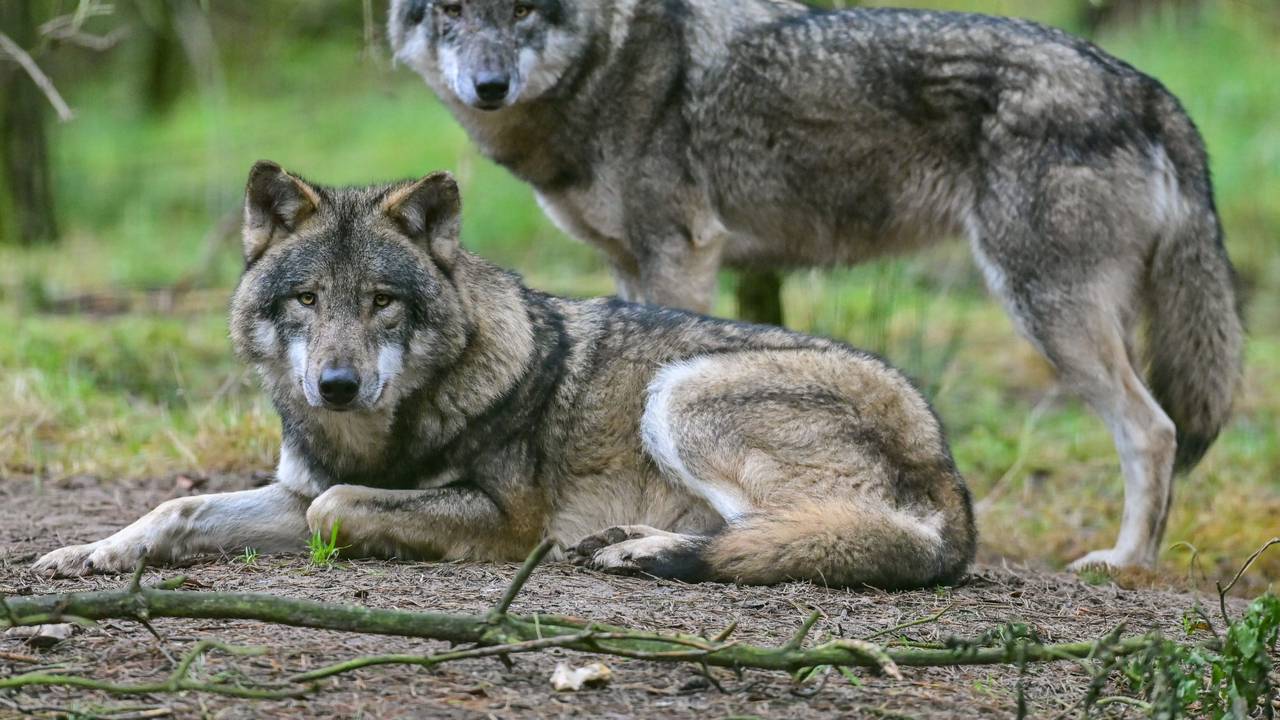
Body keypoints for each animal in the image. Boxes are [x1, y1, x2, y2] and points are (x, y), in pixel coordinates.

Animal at [34, 162, 976, 589]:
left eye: (381, 302)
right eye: (306, 298)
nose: (336, 385)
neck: (379, 435)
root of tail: (948, 465)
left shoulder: (504, 519)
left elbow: (339, 509)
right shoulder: (295, 488)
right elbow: (181, 509)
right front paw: (88, 551)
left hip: (682, 392)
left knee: (812, 534)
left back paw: (644, 549)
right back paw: (631, 544)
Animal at [387, 0, 1244, 569]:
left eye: (522, 11)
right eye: (453, 11)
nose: (488, 84)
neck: (613, 61)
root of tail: (1146, 88)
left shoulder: (681, 253)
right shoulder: (632, 264)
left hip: (1045, 312)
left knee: (1154, 430)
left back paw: (1127, 564)